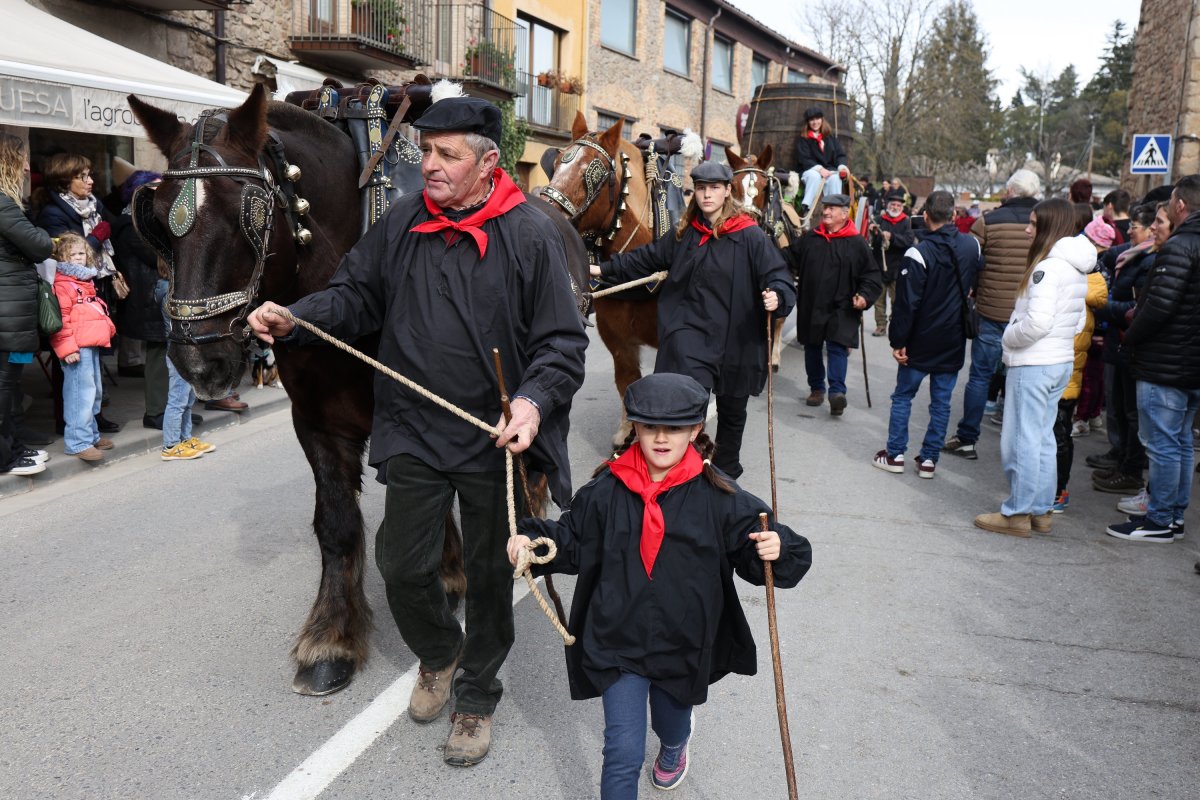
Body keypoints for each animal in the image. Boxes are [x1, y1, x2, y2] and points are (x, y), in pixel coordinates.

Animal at [130, 82, 590, 700]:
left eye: (245, 213)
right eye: (155, 217)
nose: (200, 358)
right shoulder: (318, 421)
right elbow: (340, 524)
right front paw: (333, 637)